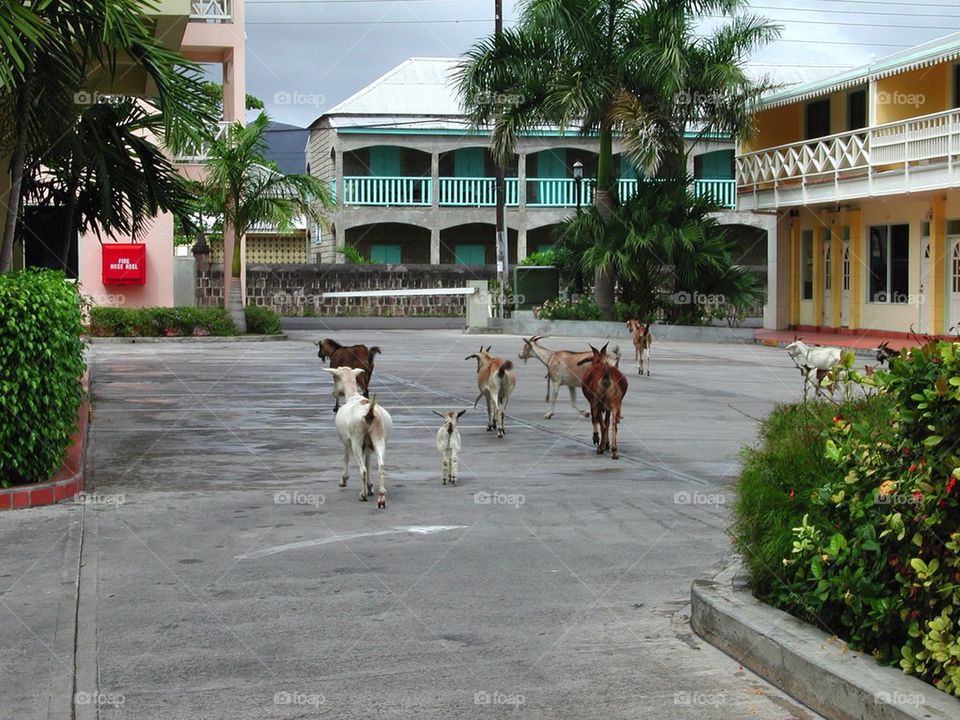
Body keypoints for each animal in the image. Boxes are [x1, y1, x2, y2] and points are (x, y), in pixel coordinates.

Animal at [322, 368, 394, 510]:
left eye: (335, 378)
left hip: (357, 440)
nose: (333, 393)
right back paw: (381, 497)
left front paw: (343, 480)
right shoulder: (368, 447)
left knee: (363, 470)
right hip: (379, 439)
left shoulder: (346, 441)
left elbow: (346, 458)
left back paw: (362, 495)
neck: (353, 396)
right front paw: (370, 487)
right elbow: (368, 461)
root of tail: (370, 412)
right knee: (381, 466)